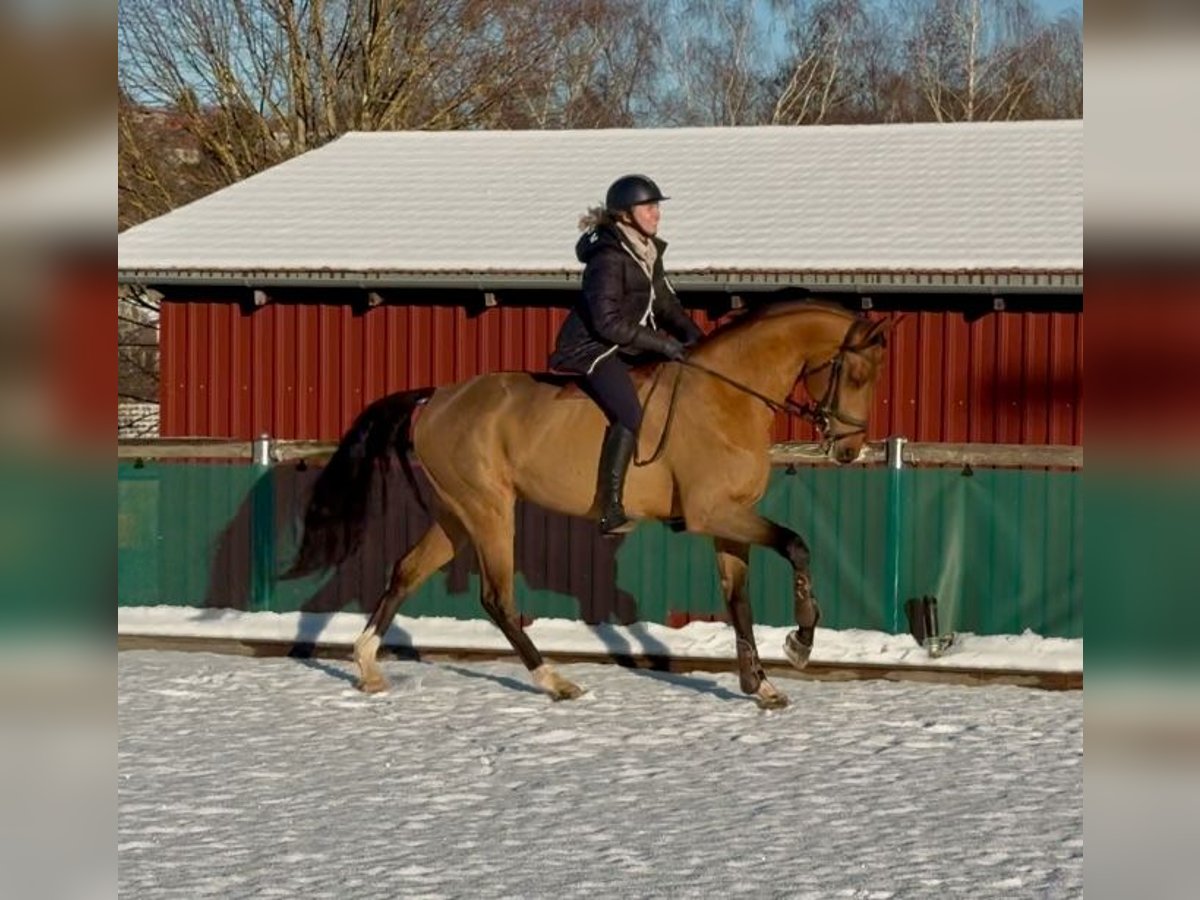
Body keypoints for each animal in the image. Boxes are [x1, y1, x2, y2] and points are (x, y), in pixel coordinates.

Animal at [283, 303, 892, 710]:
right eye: (858, 373)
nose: (849, 449)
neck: (729, 394)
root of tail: (438, 397)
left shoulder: (730, 521)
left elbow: (738, 601)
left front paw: (760, 685)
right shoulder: (713, 514)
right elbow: (797, 545)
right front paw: (800, 643)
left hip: (456, 516)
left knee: (405, 571)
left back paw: (367, 667)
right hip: (489, 511)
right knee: (496, 598)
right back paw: (554, 682)